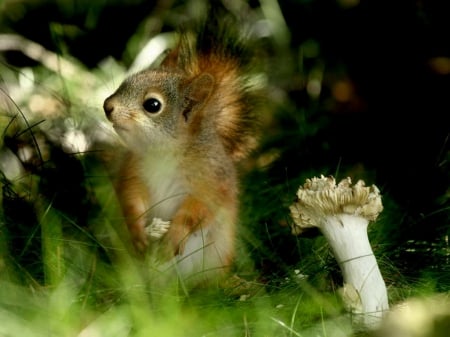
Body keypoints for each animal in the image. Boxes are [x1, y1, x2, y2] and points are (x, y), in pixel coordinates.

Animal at [102, 18, 262, 286]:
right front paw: (137, 230)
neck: (164, 153)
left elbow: (195, 211)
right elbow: (131, 197)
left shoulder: (210, 181)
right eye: (126, 82)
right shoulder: (133, 171)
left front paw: (174, 236)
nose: (107, 106)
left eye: (152, 105)